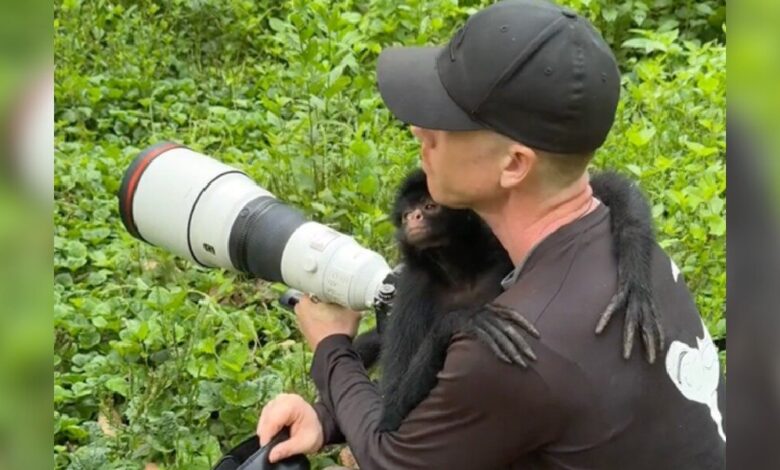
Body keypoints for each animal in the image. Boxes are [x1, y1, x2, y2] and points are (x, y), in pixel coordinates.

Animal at [354, 168, 662, 431]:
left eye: (428, 207)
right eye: (407, 214)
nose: (413, 220)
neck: (460, 273)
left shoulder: (495, 244)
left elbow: (604, 187)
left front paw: (634, 273)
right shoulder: (413, 291)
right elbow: (390, 413)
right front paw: (467, 319)